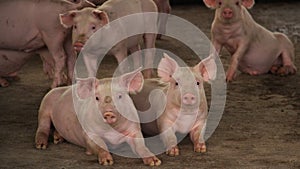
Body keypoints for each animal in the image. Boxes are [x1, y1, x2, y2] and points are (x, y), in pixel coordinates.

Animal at [34, 68, 162, 166]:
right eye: (97, 98)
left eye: (120, 96)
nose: (108, 113)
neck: (112, 131)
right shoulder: (89, 133)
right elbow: (101, 145)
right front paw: (107, 162)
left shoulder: (134, 130)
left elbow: (141, 146)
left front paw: (155, 162)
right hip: (45, 105)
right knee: (43, 126)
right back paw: (41, 145)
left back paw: (57, 139)